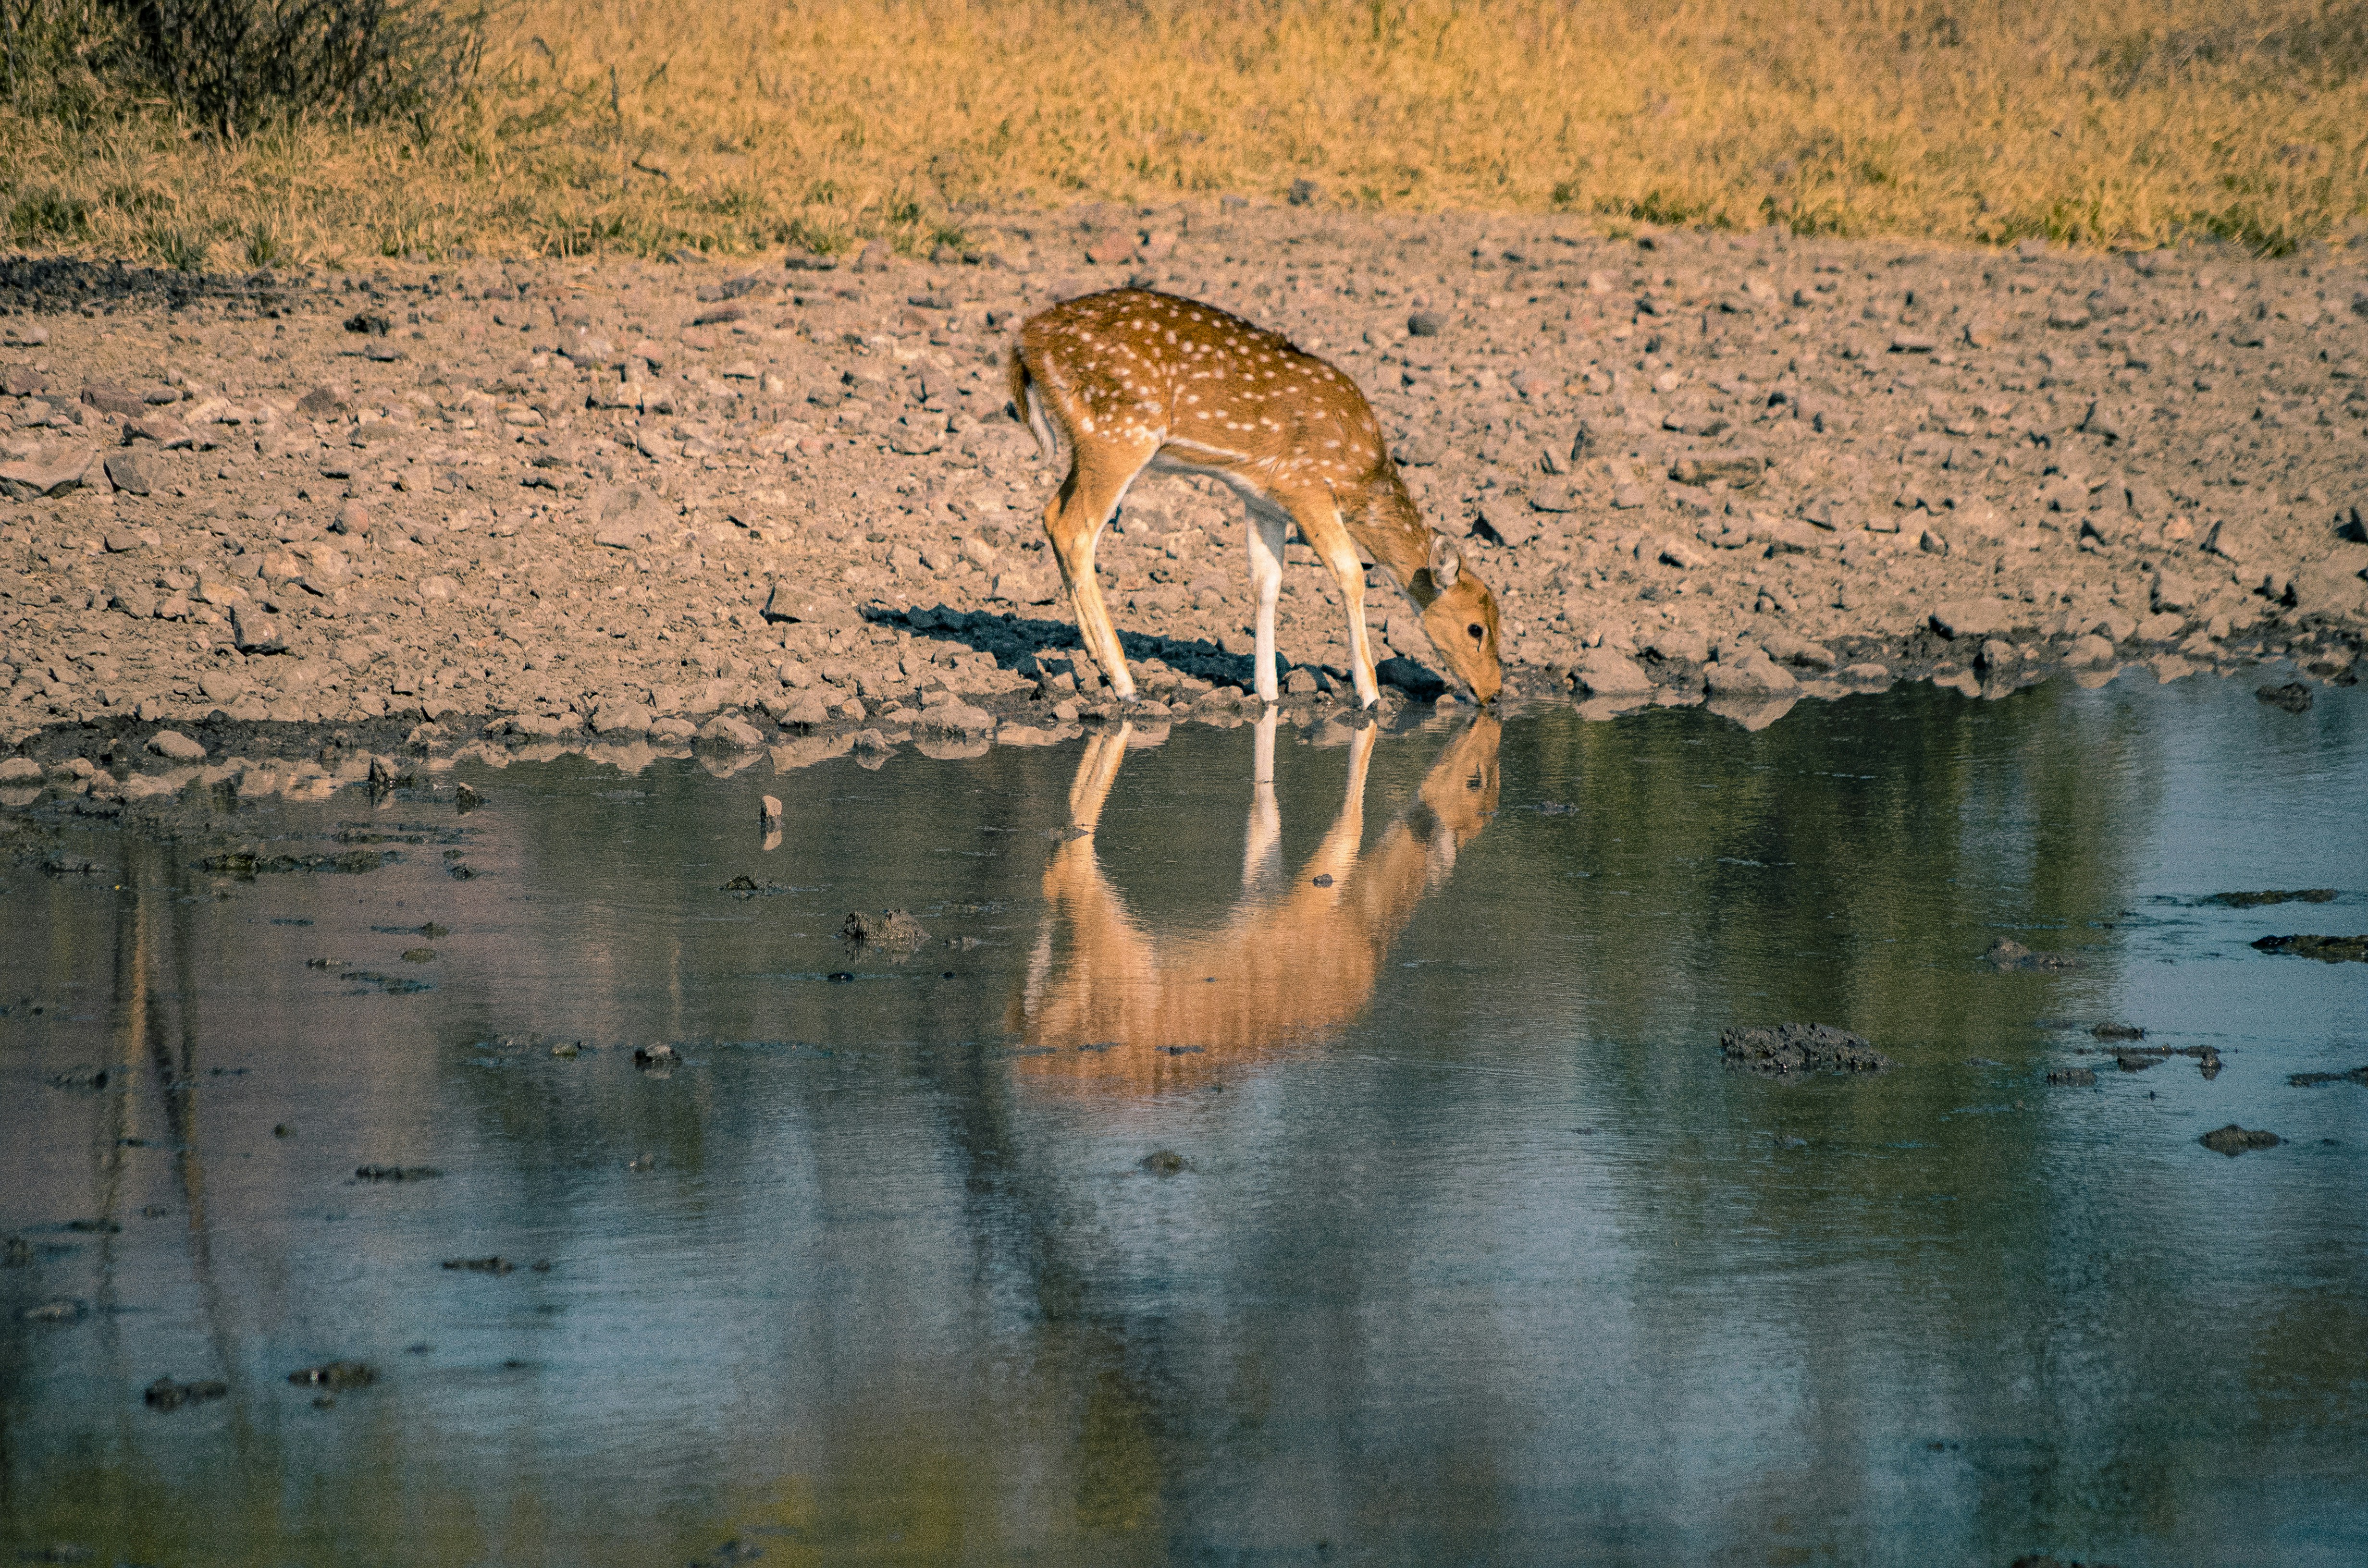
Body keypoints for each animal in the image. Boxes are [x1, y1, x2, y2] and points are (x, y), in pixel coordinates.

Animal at [1005, 289, 1503, 709]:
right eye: (1475, 628)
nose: (1494, 693)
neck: (1359, 475)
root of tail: (1025, 341)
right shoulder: (1304, 485)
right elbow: (1351, 573)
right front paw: (1369, 695)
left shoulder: (1262, 499)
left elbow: (1267, 583)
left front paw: (1267, 692)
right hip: (1120, 432)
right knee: (1075, 530)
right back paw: (1125, 683)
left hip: (1089, 441)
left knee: (1051, 515)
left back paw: (1098, 661)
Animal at [1007, 710, 1501, 1093]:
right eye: (1475, 782)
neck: (1364, 924)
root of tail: (1028, 1055)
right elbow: (1345, 827)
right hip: (1118, 946)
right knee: (1069, 865)